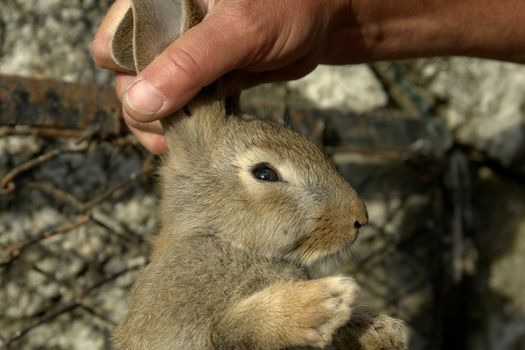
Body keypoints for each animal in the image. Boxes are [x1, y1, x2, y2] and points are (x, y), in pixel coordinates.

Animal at [109, 0, 406, 350]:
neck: (227, 241)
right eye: (265, 174)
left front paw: (383, 329)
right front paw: (320, 305)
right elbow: (231, 330)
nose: (358, 218)